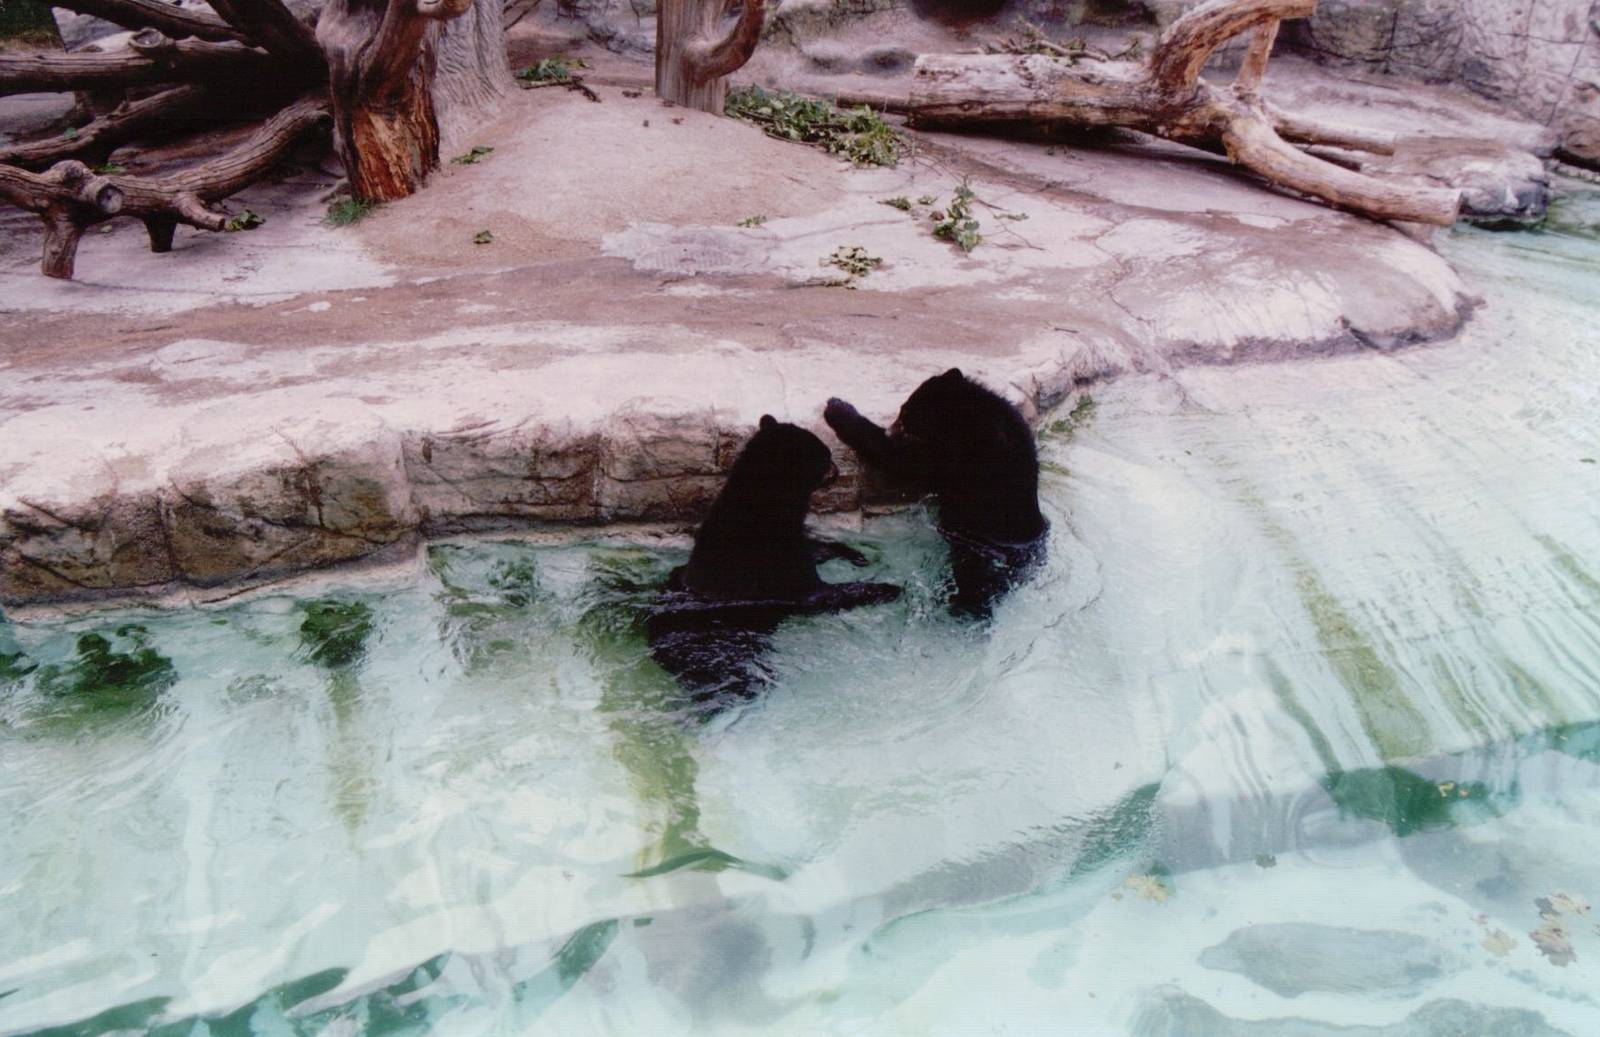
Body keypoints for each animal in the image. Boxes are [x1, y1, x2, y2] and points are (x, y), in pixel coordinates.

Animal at [647, 415, 902, 707]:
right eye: (824, 455)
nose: (836, 470)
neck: (764, 508)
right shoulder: (768, 556)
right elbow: (813, 593)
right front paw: (888, 588)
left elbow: (813, 549)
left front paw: (854, 554)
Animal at [824, 368, 1048, 619]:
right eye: (902, 409)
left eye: (906, 416)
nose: (892, 429)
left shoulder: (960, 455)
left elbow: (904, 460)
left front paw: (837, 407)